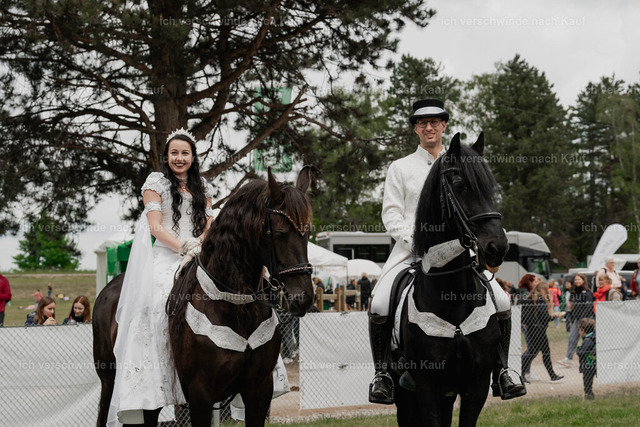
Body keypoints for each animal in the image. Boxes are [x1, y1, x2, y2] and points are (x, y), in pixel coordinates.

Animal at [93, 167, 314, 427]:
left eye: (307, 233)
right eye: (280, 234)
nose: (303, 297)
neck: (235, 306)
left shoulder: (259, 389)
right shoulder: (201, 393)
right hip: (110, 381)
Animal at [391, 133, 509, 426]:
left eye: (491, 189)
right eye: (459, 185)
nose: (497, 247)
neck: (452, 297)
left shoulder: (476, 385)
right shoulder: (426, 387)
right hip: (404, 395)